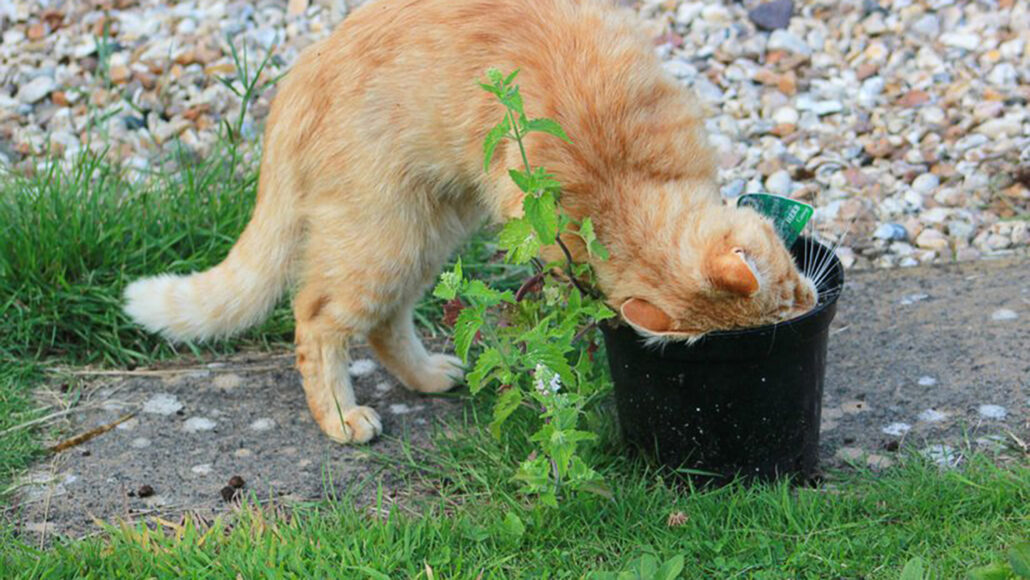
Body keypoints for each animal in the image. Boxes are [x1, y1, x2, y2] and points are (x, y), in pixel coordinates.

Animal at [124, 0, 815, 445]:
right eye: (785, 295)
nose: (811, 300)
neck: (624, 178)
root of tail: (296, 80)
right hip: (382, 240)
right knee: (317, 320)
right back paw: (342, 420)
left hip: (428, 233)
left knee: (383, 323)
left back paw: (429, 376)